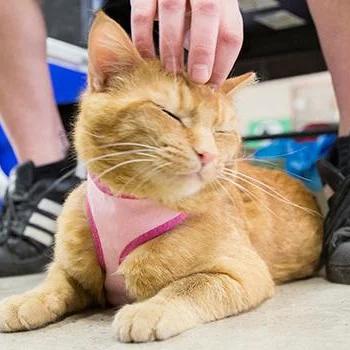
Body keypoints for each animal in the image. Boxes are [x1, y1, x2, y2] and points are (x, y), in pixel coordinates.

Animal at [0, 13, 322, 342]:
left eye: (220, 130)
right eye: (170, 114)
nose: (208, 154)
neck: (128, 201)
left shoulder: (242, 271)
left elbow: (190, 285)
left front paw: (149, 309)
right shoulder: (73, 271)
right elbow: (55, 282)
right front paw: (27, 299)